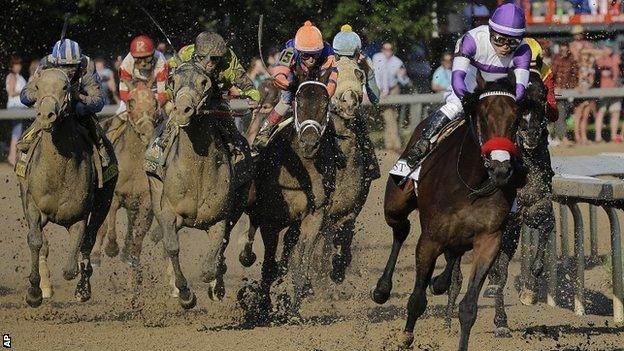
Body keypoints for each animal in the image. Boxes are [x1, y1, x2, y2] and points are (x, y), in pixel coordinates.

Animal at [94, 81, 161, 266]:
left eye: (155, 103)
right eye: (131, 103)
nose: (147, 133)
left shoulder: (146, 200)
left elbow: (140, 231)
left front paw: (133, 256)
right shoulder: (114, 196)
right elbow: (109, 227)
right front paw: (111, 249)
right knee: (102, 226)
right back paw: (96, 254)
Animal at [372, 78, 524, 350]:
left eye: (516, 118)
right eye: (483, 116)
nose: (501, 169)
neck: (470, 184)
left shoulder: (489, 239)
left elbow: (469, 307)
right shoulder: (430, 239)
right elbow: (417, 298)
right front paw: (405, 337)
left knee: (453, 253)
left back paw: (440, 281)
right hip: (395, 204)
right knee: (401, 229)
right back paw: (382, 289)